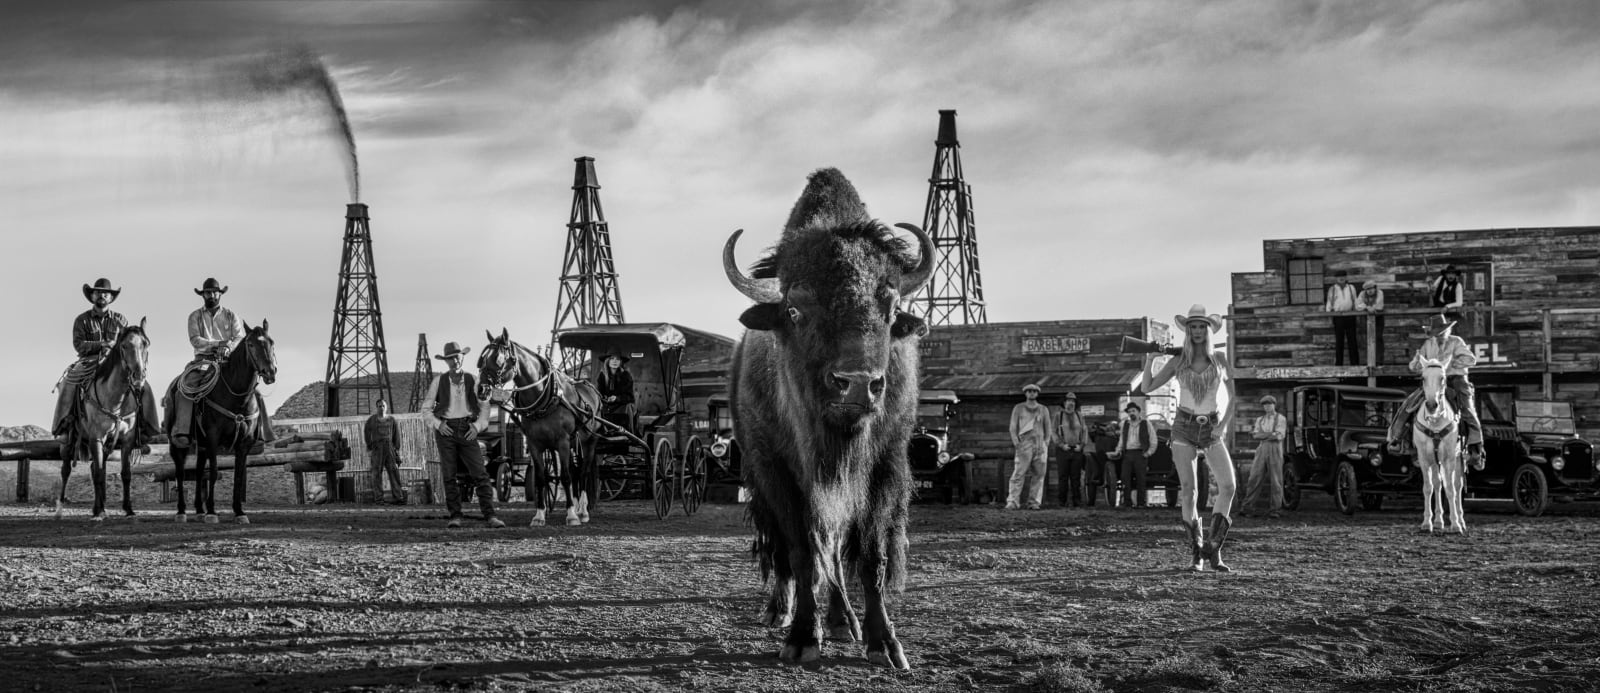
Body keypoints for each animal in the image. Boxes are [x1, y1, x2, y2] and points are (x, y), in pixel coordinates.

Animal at [724, 168, 933, 669]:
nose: (857, 384)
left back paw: (842, 621)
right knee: (784, 550)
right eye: (795, 309)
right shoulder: (777, 471)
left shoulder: (881, 469)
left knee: (835, 550)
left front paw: (884, 643)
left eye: (890, 308)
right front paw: (801, 638)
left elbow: (869, 556)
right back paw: (778, 611)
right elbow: (800, 552)